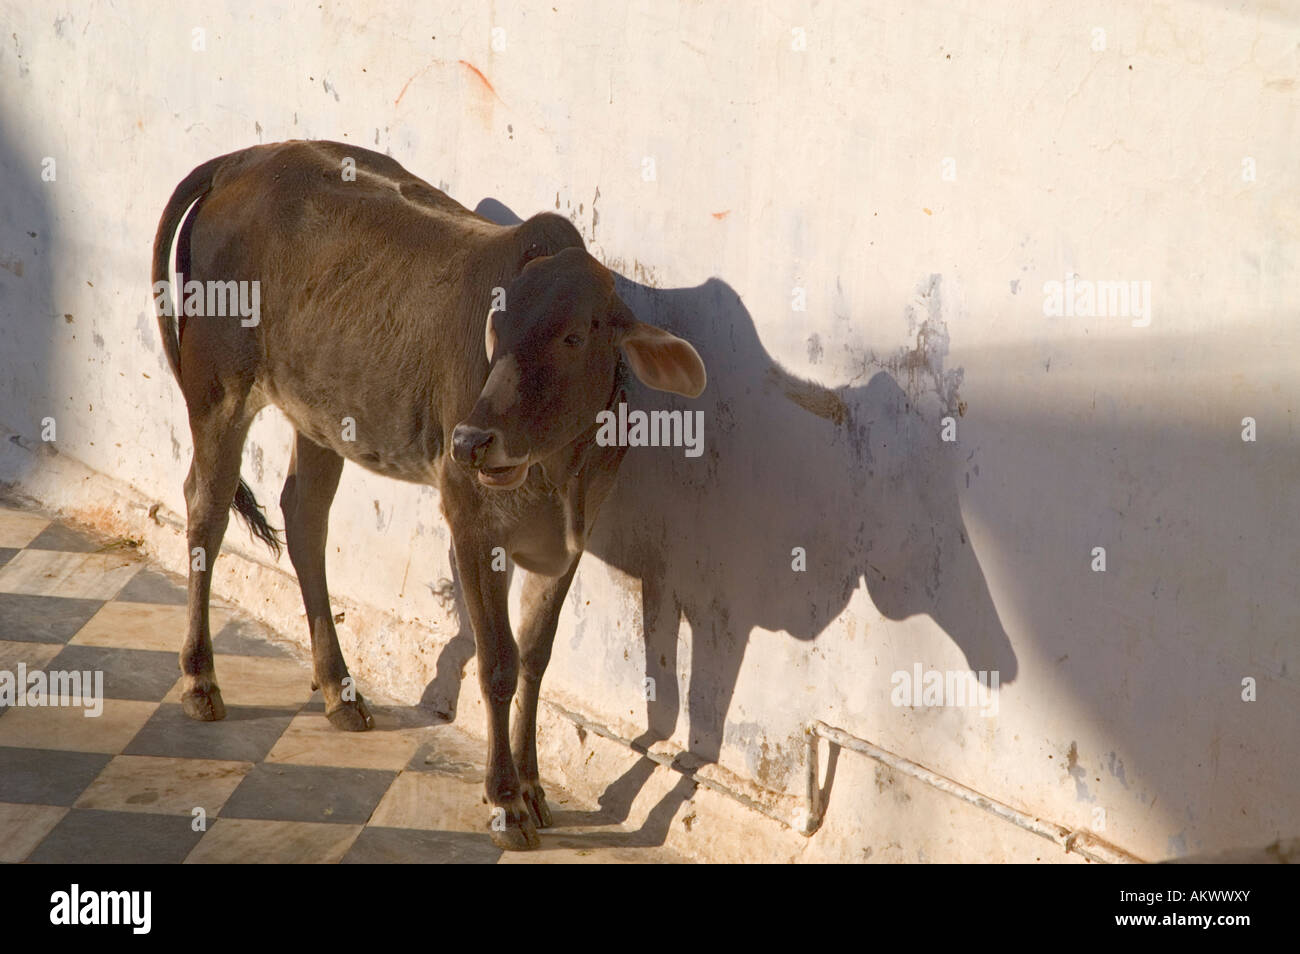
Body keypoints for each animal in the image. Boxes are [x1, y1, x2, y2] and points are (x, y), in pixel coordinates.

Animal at [151, 140, 707, 849]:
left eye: (574, 336)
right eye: (494, 331)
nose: (471, 440)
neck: (558, 471)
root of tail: (245, 157)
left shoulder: (570, 542)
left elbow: (536, 658)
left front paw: (533, 786)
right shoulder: (471, 522)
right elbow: (497, 663)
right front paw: (505, 801)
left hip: (320, 412)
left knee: (304, 518)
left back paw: (339, 690)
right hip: (218, 388)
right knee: (206, 510)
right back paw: (200, 679)